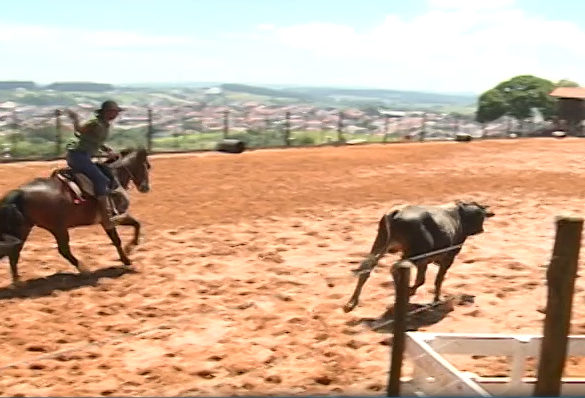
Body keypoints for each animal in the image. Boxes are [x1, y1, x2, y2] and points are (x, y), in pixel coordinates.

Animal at [0, 147, 152, 286]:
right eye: (146, 166)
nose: (145, 188)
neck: (113, 176)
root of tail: (19, 192)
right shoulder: (115, 217)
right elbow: (132, 228)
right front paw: (129, 251)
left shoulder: (106, 222)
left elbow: (123, 235)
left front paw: (126, 255)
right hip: (58, 228)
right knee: (63, 250)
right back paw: (84, 269)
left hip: (23, 229)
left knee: (14, 253)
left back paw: (17, 282)